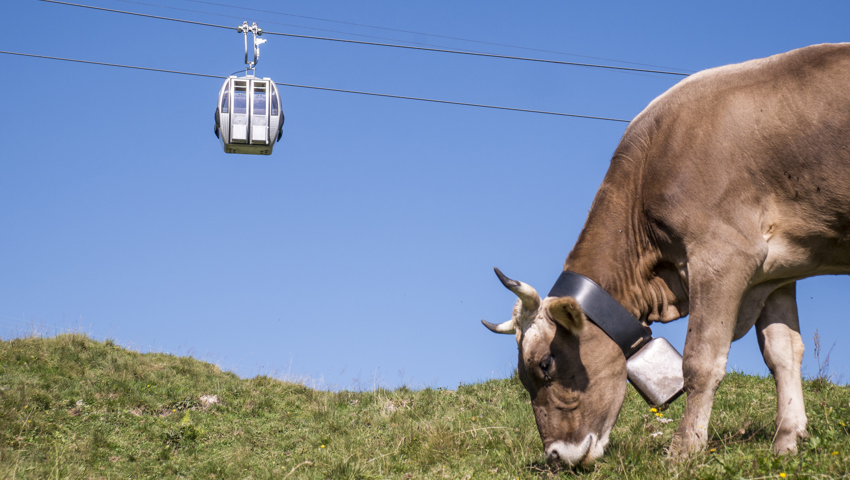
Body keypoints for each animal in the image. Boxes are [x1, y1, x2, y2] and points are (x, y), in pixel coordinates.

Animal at [480, 44, 848, 464]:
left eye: (546, 363)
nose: (556, 457)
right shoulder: (775, 271)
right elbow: (782, 353)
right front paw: (786, 441)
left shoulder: (722, 255)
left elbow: (700, 360)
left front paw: (684, 448)